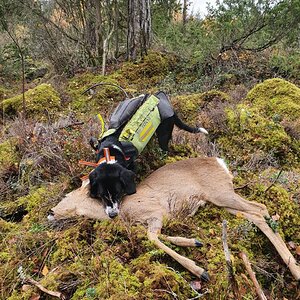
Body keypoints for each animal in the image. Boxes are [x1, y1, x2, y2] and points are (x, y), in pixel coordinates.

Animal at [48, 157, 300, 282]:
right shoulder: (155, 220)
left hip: (221, 192)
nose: (50, 211)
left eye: (67, 196)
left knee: (259, 208)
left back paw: (294, 270)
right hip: (223, 201)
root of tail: (220, 162)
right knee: (255, 213)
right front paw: (194, 243)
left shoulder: (155, 212)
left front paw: (200, 271)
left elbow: (153, 238)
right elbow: (159, 236)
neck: (125, 210)